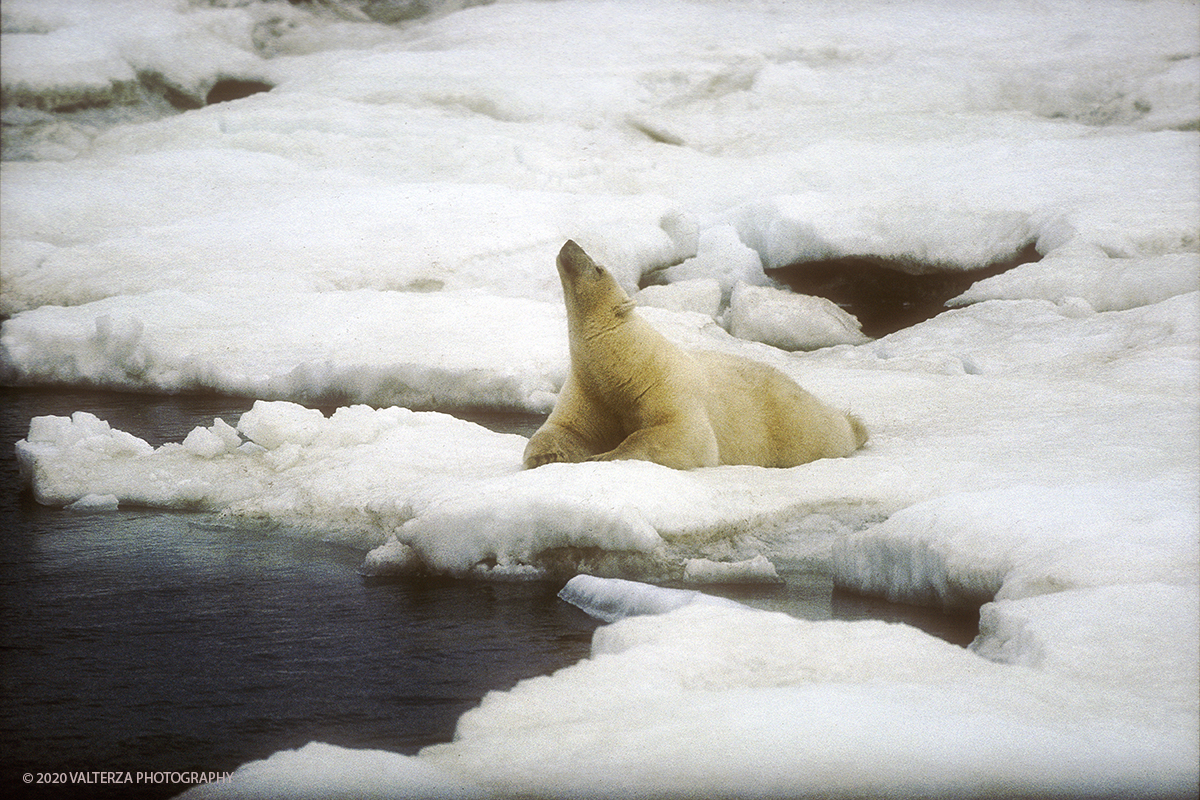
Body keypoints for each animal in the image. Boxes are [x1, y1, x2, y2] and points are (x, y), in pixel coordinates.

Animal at [520, 241, 868, 472]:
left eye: (598, 268)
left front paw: (606, 455)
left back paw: (855, 427)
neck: (624, 362)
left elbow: (684, 435)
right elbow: (565, 429)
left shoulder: (665, 385)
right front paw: (543, 456)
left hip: (794, 423)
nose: (570, 244)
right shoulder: (590, 389)